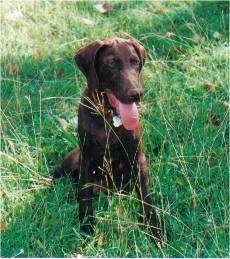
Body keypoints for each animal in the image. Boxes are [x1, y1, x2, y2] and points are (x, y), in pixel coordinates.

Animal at [52, 37, 163, 245]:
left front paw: (155, 233)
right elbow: (85, 200)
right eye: (111, 63)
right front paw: (87, 231)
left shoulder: (139, 160)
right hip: (73, 159)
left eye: (135, 61)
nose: (136, 94)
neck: (110, 119)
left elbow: (147, 200)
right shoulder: (87, 162)